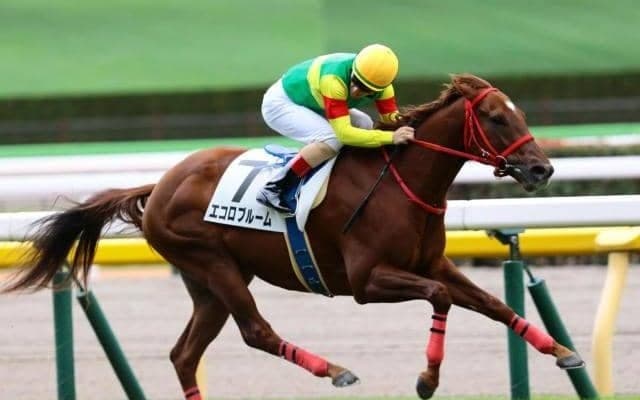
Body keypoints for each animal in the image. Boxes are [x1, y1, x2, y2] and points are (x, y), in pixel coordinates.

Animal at [3, 74, 584, 400]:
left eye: (519, 114)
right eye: (495, 117)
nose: (543, 170)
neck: (403, 182)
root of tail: (161, 182)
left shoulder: (431, 264)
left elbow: (491, 304)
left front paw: (561, 350)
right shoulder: (366, 281)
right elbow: (441, 297)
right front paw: (427, 380)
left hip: (206, 283)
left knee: (184, 355)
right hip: (214, 264)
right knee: (255, 331)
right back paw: (336, 370)